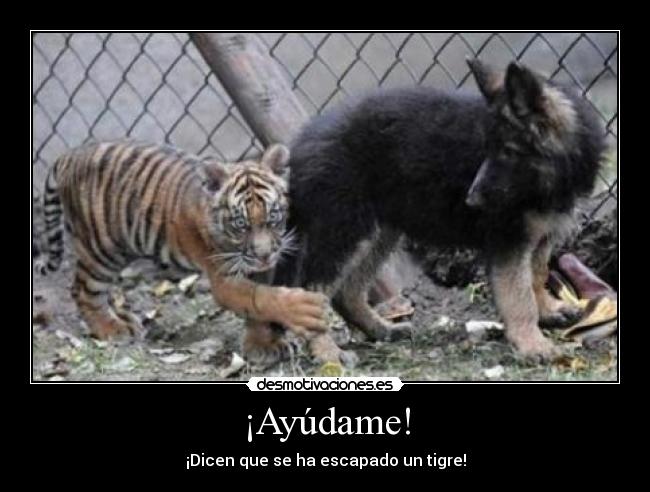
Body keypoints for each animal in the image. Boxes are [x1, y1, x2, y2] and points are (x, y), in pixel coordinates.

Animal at [36, 139, 328, 358]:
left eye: (273, 217)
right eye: (241, 225)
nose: (264, 255)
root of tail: (69, 155)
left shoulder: (258, 269)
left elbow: (259, 306)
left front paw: (262, 346)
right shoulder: (225, 277)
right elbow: (260, 298)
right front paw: (306, 310)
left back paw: (124, 318)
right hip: (101, 249)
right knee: (84, 291)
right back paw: (112, 329)